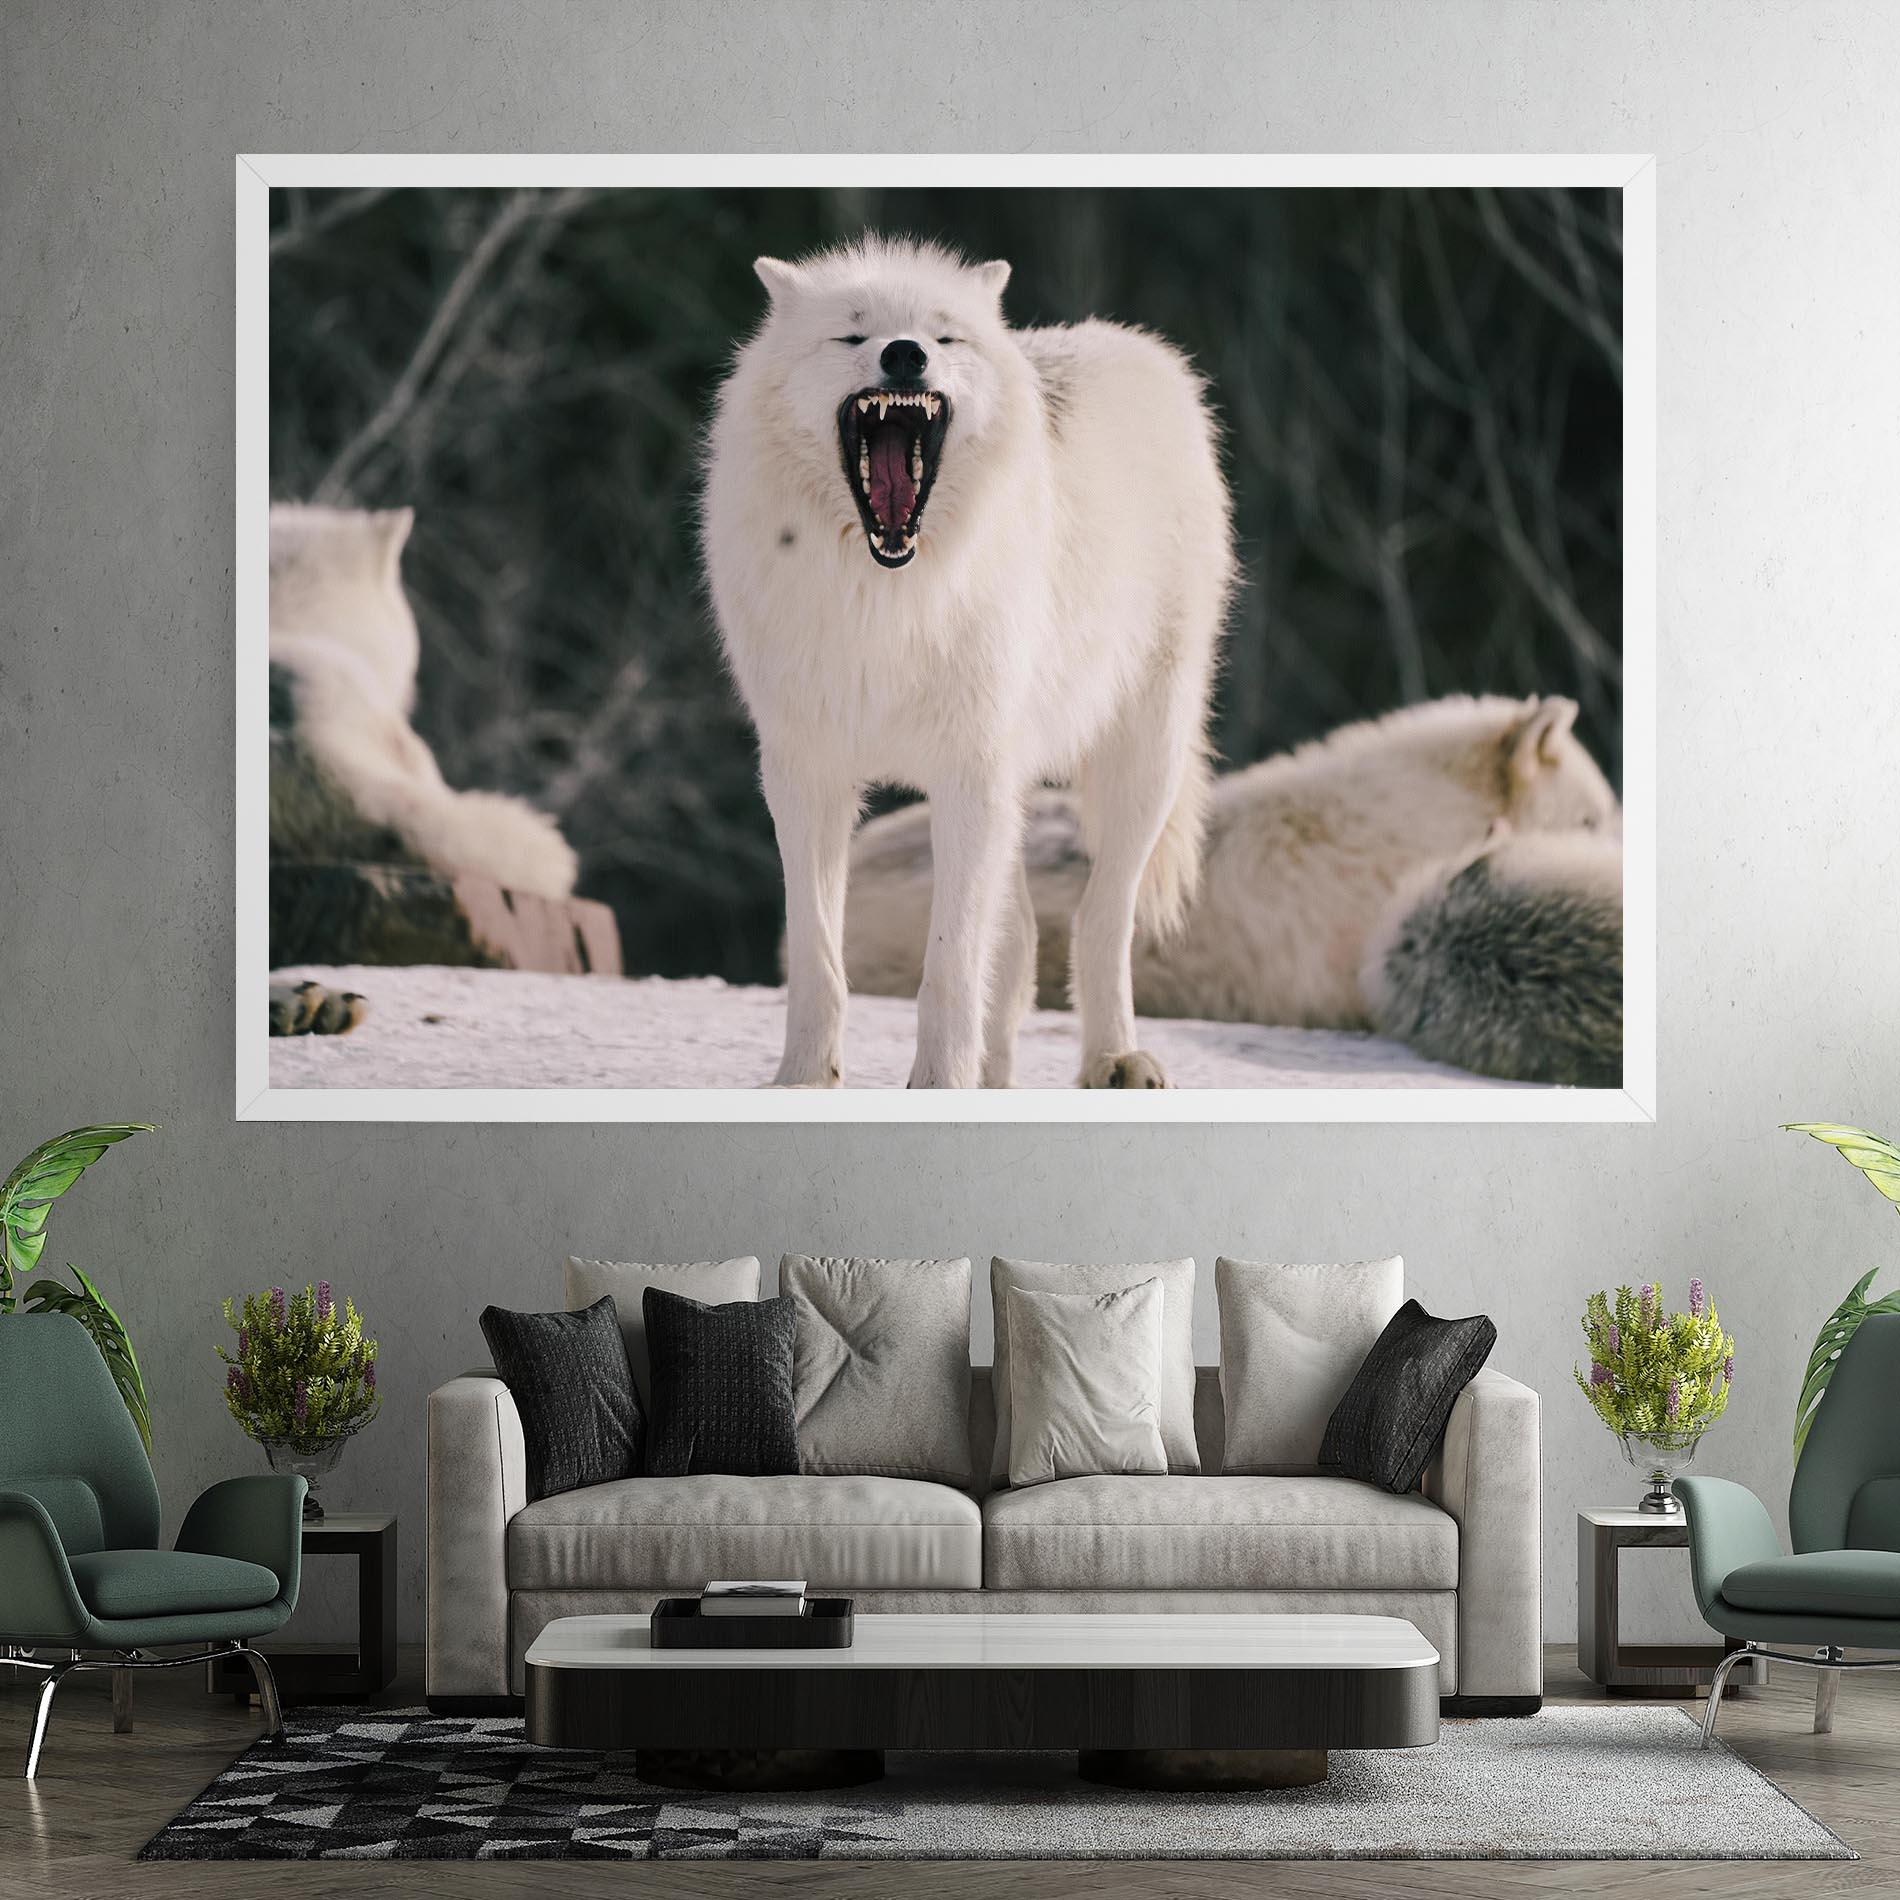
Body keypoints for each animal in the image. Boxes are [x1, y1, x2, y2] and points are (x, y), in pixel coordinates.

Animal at [703, 237, 1233, 1089]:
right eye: (853, 335)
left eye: (943, 336)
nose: (905, 354)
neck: (887, 597)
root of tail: (1137, 347)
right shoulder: (805, 774)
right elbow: (818, 957)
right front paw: (804, 1080)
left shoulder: (967, 773)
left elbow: (949, 965)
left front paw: (938, 1084)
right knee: (1017, 947)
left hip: (1140, 760)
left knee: (1101, 917)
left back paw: (1114, 1057)